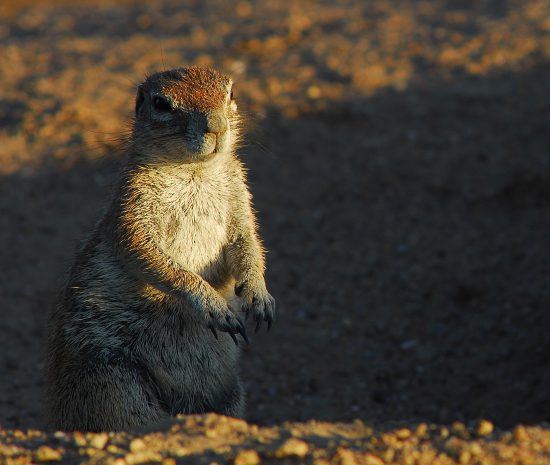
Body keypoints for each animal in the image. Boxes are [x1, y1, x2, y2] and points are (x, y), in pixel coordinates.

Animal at [46, 66, 276, 432]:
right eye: (162, 104)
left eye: (231, 93)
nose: (216, 127)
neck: (195, 170)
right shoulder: (133, 209)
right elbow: (149, 256)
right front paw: (212, 304)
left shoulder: (240, 197)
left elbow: (248, 243)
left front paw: (259, 294)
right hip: (113, 381)